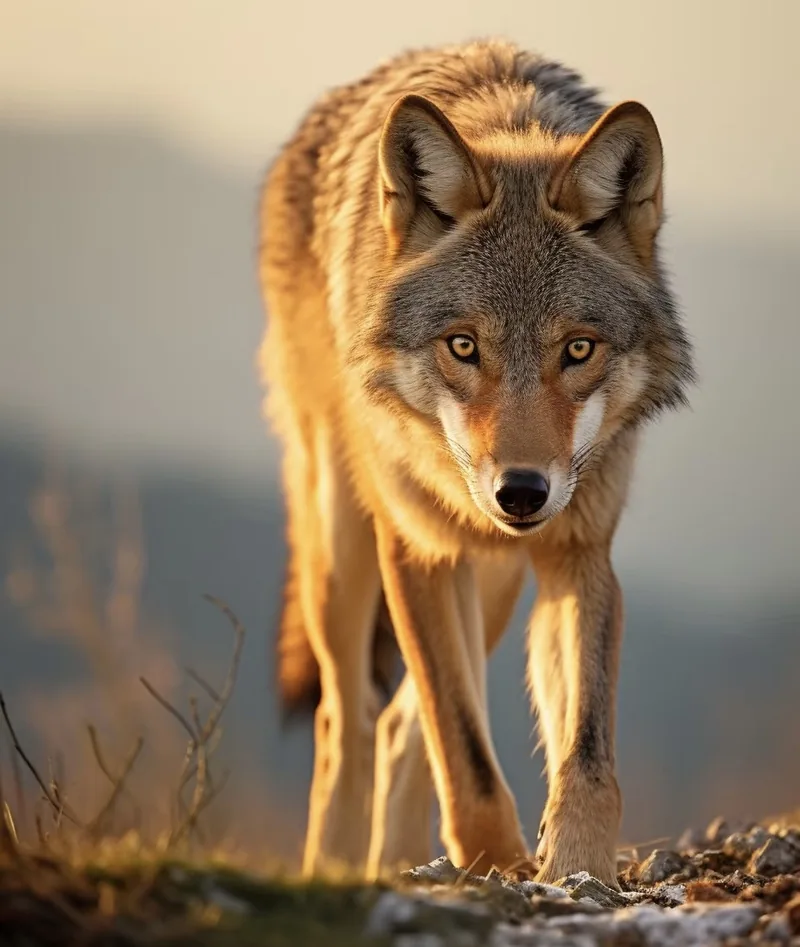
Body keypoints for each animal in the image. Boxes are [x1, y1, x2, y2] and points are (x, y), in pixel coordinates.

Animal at [257, 39, 694, 886]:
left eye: (577, 350)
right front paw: (496, 860)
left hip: (492, 581)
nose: (521, 490)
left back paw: (395, 859)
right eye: (464, 345)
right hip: (344, 552)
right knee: (346, 721)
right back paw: (335, 866)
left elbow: (586, 757)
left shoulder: (578, 553)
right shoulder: (419, 551)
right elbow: (466, 755)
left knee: (399, 726)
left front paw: (576, 869)